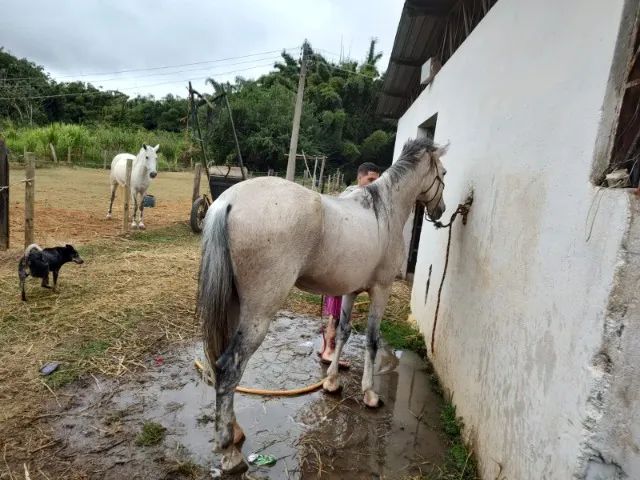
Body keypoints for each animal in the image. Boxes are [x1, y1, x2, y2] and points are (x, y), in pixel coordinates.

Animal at [197, 137, 448, 473]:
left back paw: (235, 432)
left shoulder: (351, 291)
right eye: (443, 173)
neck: (384, 211)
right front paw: (370, 394)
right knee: (228, 367)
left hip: (234, 305)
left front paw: (331, 381)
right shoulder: (380, 290)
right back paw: (230, 452)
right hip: (257, 315)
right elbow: (371, 340)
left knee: (219, 364)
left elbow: (342, 332)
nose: (441, 210)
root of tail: (229, 201)